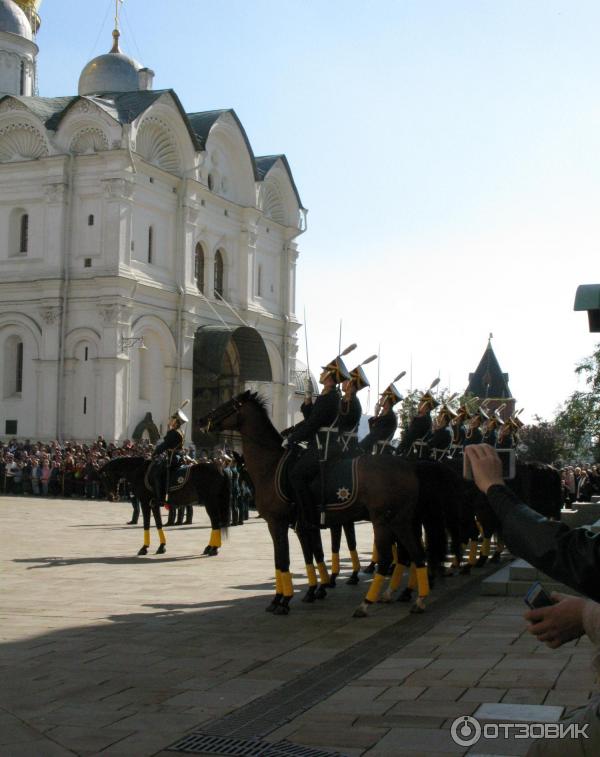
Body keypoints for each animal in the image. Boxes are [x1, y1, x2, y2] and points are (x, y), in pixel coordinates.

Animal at [98, 454, 230, 556]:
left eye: (105, 478)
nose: (111, 497)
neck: (139, 471)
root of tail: (220, 468)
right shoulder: (154, 504)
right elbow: (158, 523)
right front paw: (161, 546)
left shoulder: (145, 502)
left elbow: (146, 524)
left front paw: (144, 548)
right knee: (215, 523)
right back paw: (210, 547)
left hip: (210, 502)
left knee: (215, 522)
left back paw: (213, 548)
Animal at [199, 390, 452, 616]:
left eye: (229, 405)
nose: (202, 420)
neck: (270, 466)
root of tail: (408, 466)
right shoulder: (303, 525)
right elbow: (313, 554)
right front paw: (313, 590)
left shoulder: (278, 523)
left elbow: (284, 560)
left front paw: (283, 600)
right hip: (402, 520)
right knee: (416, 554)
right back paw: (414, 597)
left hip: (384, 520)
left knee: (392, 557)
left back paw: (368, 603)